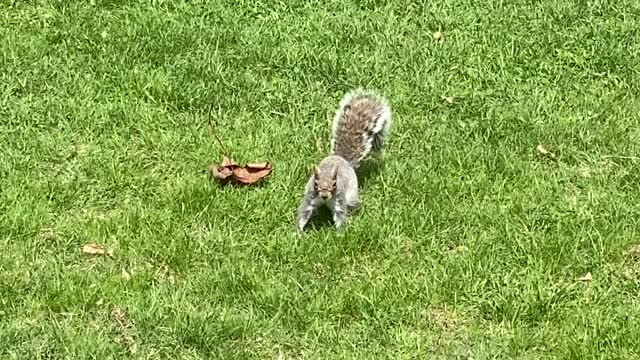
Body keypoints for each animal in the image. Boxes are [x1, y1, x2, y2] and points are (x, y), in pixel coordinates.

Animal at [298, 88, 392, 232]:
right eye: (316, 184)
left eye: (334, 184)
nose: (324, 195)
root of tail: (341, 158)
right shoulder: (310, 197)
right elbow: (304, 212)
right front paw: (297, 232)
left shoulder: (340, 199)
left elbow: (340, 214)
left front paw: (340, 233)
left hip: (351, 194)